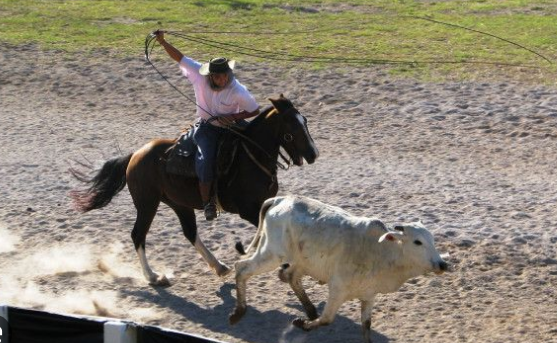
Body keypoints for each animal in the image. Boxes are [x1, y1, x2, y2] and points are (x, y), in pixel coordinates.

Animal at [70, 94, 318, 288]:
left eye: (305, 121)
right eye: (292, 126)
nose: (313, 154)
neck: (251, 157)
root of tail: (135, 155)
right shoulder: (247, 209)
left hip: (179, 204)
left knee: (189, 232)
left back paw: (219, 267)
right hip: (147, 203)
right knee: (138, 234)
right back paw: (153, 276)